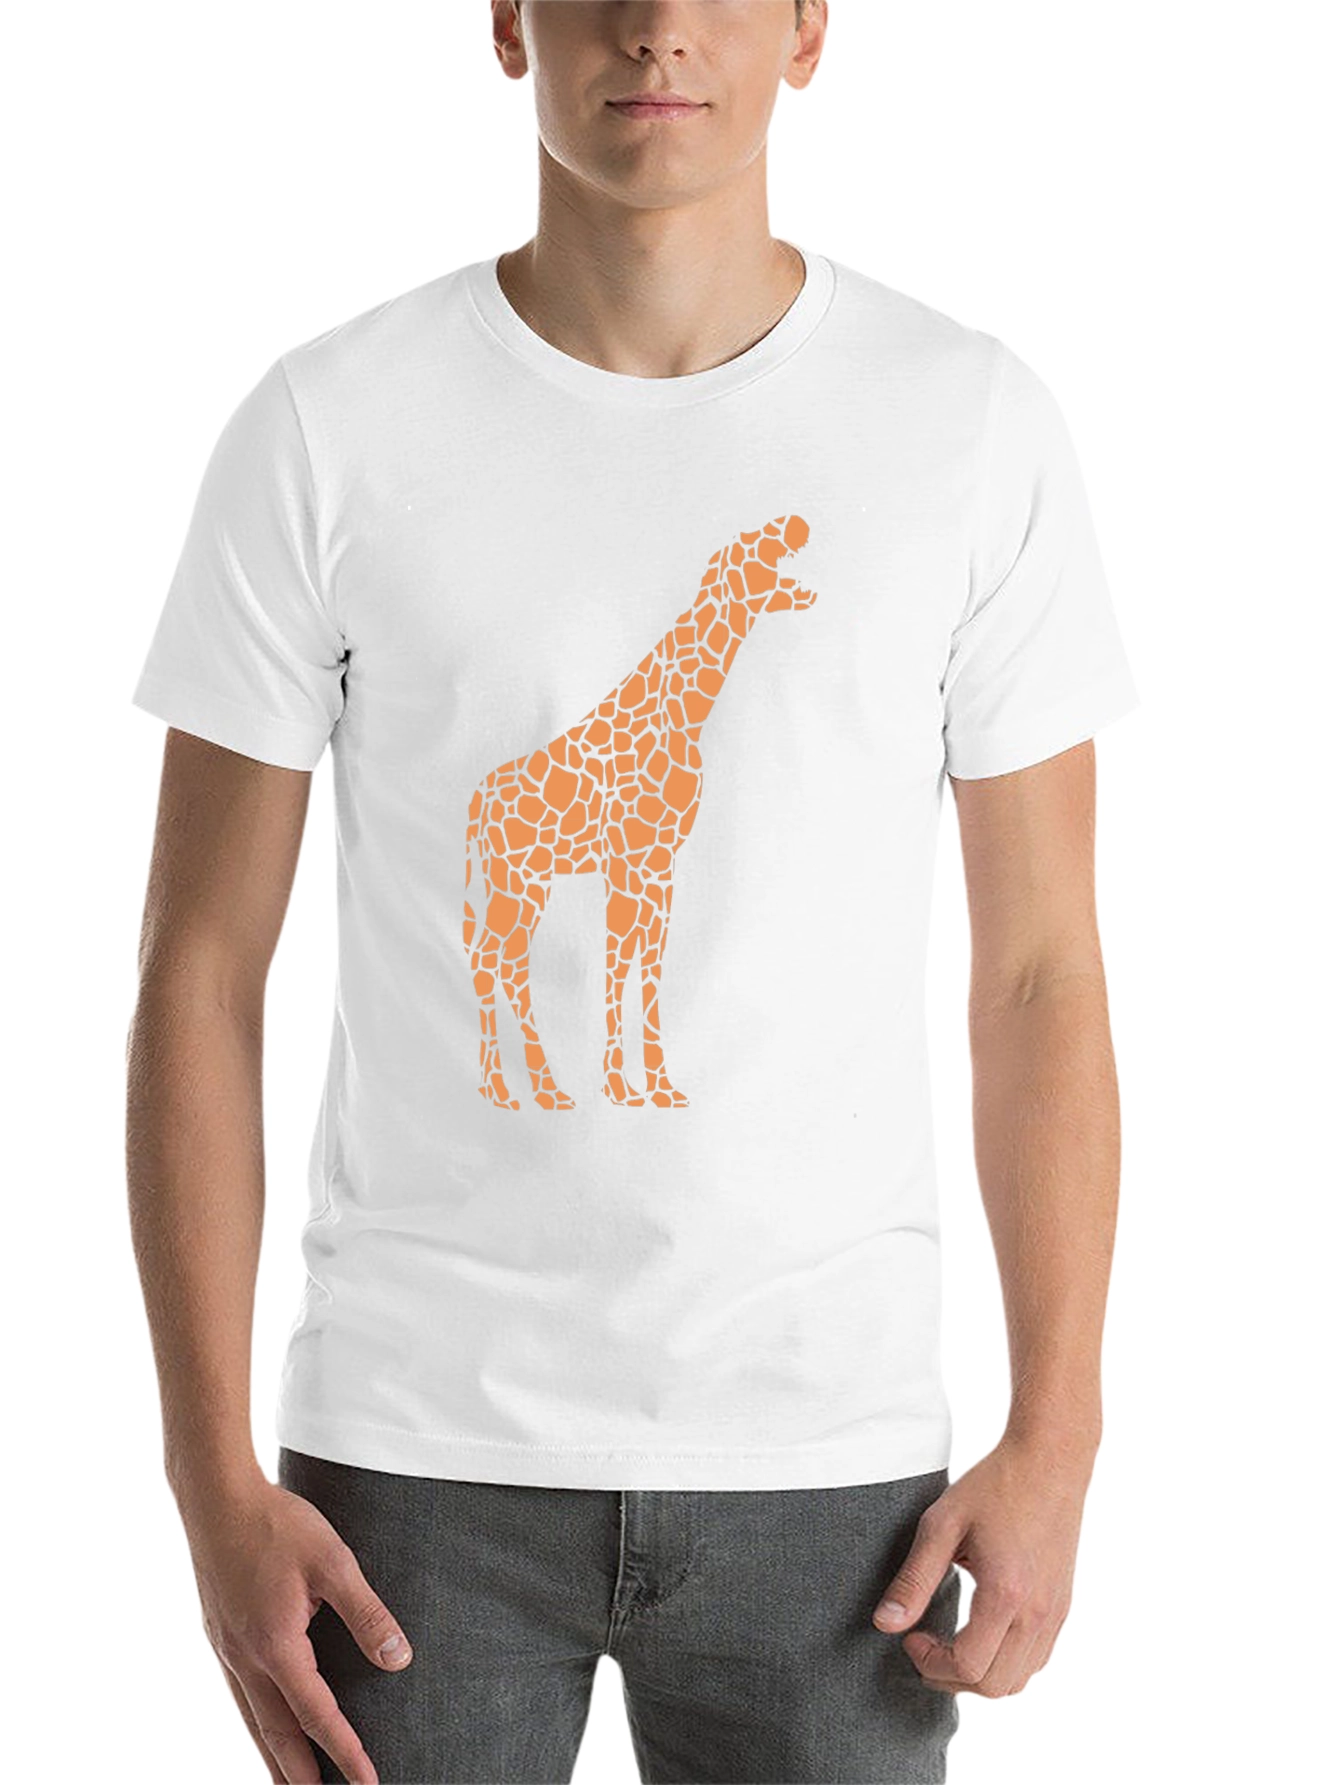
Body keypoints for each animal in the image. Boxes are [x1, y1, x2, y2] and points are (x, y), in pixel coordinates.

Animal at [462, 512, 817, 1110]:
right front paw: (618, 1087)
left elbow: (648, 965)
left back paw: (544, 1090)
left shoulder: (660, 863)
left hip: (527, 881)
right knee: (490, 961)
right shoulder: (624, 862)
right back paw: (500, 1089)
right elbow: (617, 962)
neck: (687, 716)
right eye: (751, 544)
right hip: (516, 879)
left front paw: (660, 1087)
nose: (795, 522)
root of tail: (478, 800)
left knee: (509, 964)